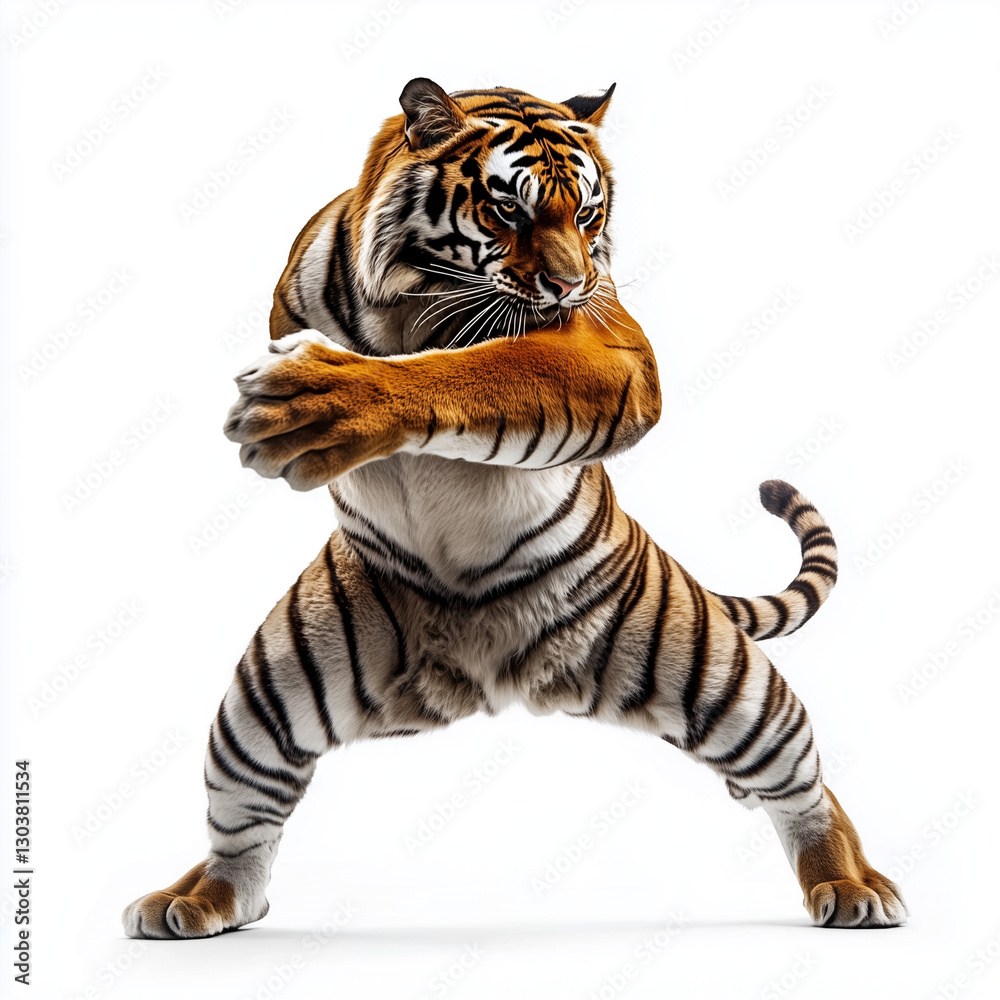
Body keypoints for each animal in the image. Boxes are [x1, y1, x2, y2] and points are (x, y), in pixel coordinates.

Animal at [122, 78, 907, 938]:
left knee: (799, 777)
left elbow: (482, 369)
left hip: (711, 674)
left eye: (589, 215)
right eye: (508, 211)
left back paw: (852, 884)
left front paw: (320, 403)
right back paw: (198, 897)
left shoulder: (606, 347)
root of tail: (486, 680)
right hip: (268, 699)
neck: (411, 294)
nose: (572, 286)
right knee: (242, 828)